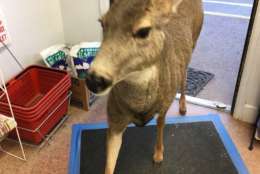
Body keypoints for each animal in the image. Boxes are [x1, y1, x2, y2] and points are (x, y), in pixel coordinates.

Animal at [85, 0, 203, 173]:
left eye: (144, 31)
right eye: (102, 23)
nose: (94, 80)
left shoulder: (164, 104)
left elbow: (160, 125)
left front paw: (158, 155)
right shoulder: (114, 118)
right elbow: (109, 165)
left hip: (195, 40)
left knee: (185, 74)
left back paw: (182, 107)